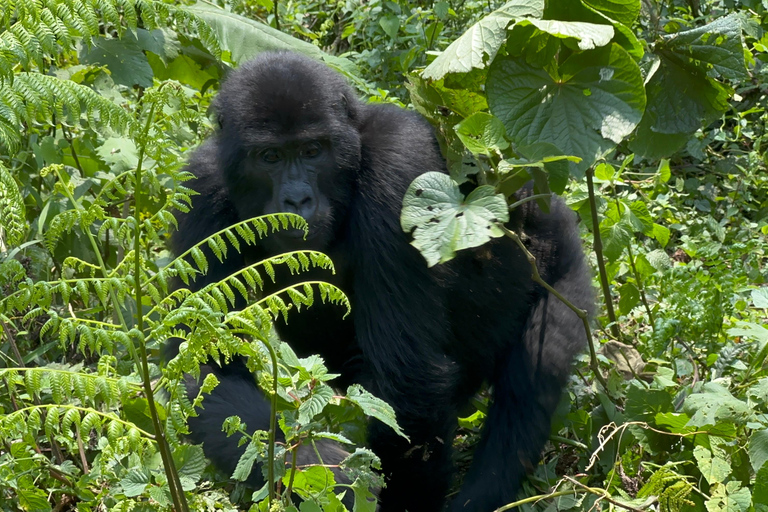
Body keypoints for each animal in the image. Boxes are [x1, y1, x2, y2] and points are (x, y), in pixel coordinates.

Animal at [170, 49, 592, 512]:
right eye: (269, 158)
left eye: (312, 150)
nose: (297, 199)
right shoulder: (200, 190)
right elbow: (206, 369)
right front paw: (322, 474)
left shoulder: (397, 163)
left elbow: (408, 378)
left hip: (562, 261)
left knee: (532, 375)